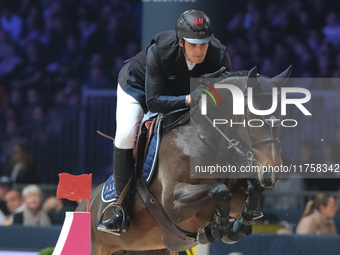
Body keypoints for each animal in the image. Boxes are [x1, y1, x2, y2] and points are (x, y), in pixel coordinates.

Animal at [76, 64, 292, 254]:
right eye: (253, 117)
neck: (207, 141)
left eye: (284, 116)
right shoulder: (174, 202)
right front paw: (217, 227)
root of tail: (83, 205)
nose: (272, 171)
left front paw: (234, 226)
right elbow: (219, 190)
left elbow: (253, 189)